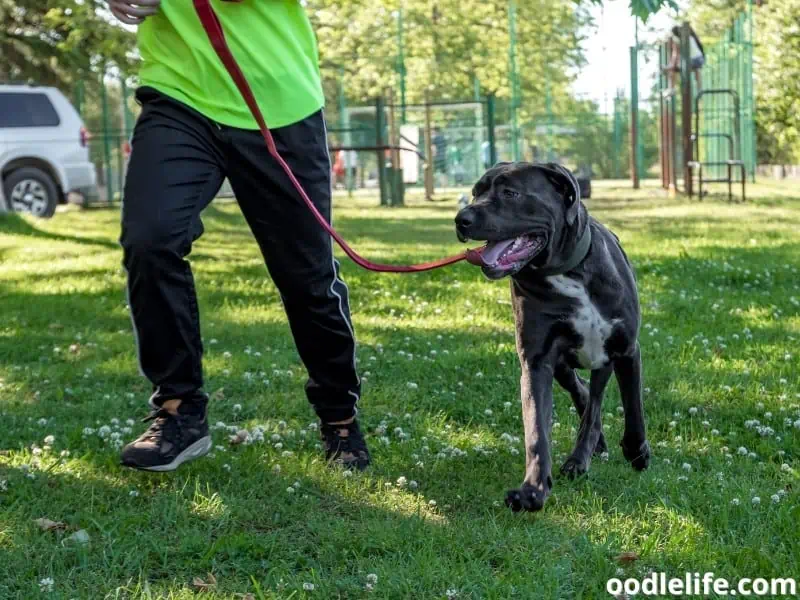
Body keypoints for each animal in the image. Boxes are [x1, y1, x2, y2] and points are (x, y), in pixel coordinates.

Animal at [456, 163, 648, 510]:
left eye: (510, 193)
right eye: (476, 193)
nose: (461, 218)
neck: (566, 273)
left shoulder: (625, 349)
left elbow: (632, 405)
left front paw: (637, 451)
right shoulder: (537, 362)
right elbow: (536, 430)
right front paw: (533, 489)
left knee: (593, 403)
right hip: (563, 365)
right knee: (581, 392)